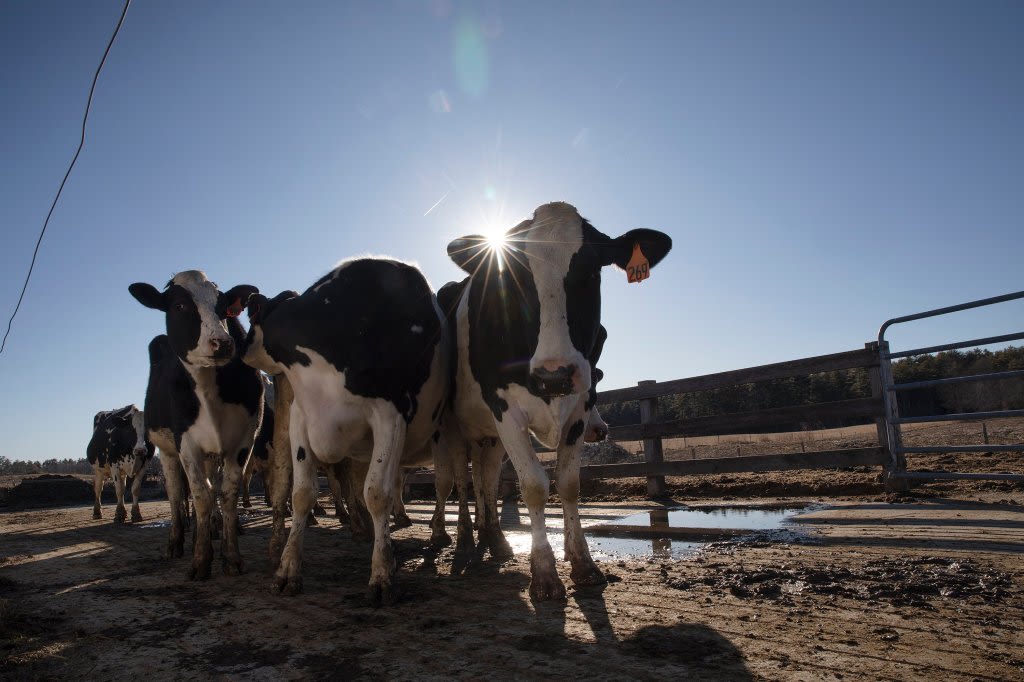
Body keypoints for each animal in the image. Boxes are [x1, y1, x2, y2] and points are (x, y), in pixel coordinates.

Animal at [130, 268, 264, 577]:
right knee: (176, 493)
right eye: (180, 306)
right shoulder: (185, 443)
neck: (207, 386)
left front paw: (231, 556)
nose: (222, 343)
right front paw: (201, 559)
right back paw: (177, 542)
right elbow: (200, 495)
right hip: (166, 451)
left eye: (224, 305)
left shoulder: (242, 440)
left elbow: (226, 494)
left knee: (211, 487)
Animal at [239, 256, 452, 602]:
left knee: (442, 483)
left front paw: (381, 574)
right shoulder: (301, 416)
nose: (239, 347)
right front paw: (288, 568)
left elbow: (377, 493)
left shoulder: (391, 414)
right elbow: (302, 494)